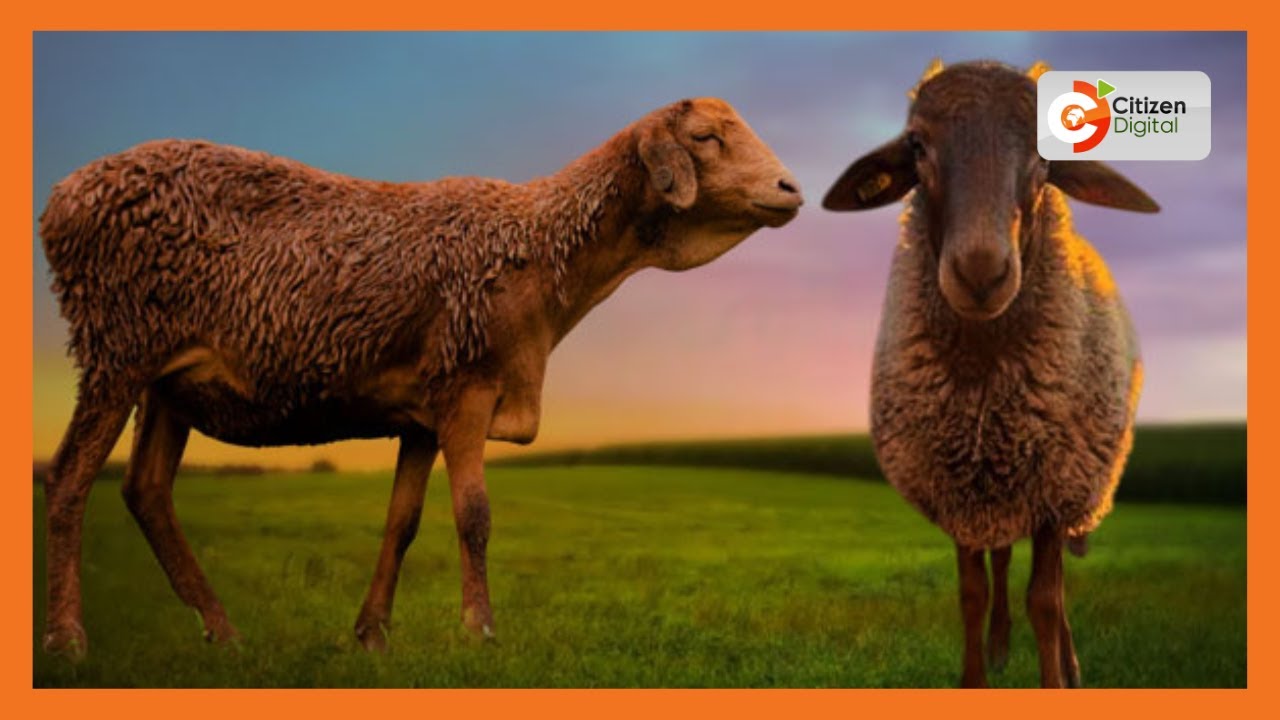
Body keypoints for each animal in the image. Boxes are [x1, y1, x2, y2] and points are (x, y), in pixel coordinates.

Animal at [39, 97, 803, 660]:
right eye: (705, 137)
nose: (790, 189)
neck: (545, 253)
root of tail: (62, 196)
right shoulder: (467, 386)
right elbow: (474, 515)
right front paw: (481, 631)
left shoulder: (421, 413)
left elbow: (401, 522)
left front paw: (372, 635)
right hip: (116, 345)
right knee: (71, 477)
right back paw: (69, 638)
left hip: (168, 380)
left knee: (145, 491)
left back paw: (222, 632)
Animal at [822, 60, 1155, 688]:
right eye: (917, 145)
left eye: (1049, 154)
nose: (980, 271)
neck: (984, 391)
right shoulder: (958, 492)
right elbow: (972, 594)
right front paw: (977, 675)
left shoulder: (1055, 487)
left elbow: (1045, 602)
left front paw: (1056, 679)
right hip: (998, 493)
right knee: (1001, 559)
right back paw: (1001, 646)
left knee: (1054, 586)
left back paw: (1071, 664)